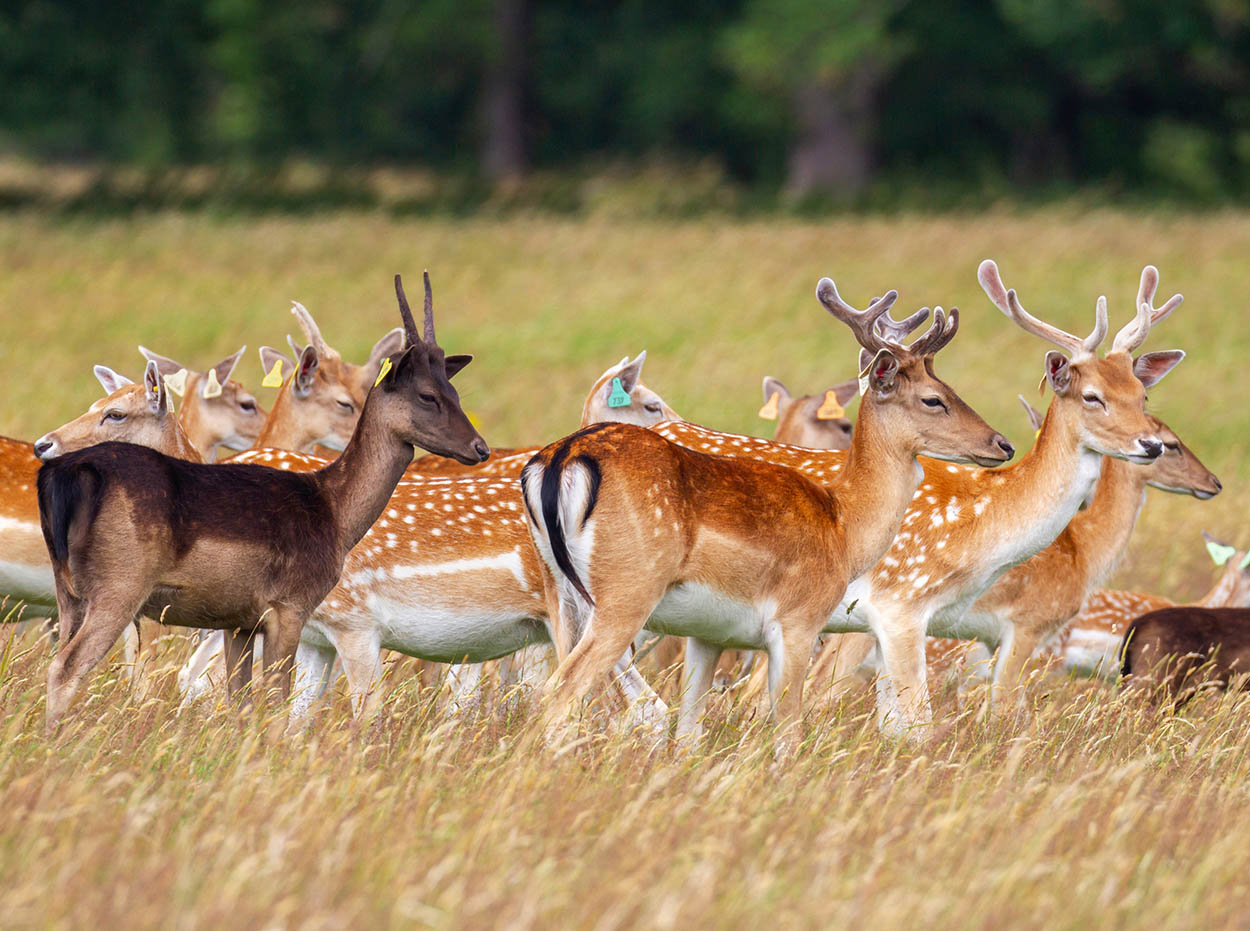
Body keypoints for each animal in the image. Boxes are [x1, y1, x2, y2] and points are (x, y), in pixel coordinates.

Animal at [39, 272, 487, 729]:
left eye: (455, 390)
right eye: (427, 394)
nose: (479, 447)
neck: (334, 508)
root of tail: (64, 477)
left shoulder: (238, 622)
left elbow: (239, 700)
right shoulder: (289, 609)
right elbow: (276, 702)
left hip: (68, 594)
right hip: (118, 590)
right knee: (67, 668)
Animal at [522, 273, 1010, 739]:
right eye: (933, 398)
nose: (1002, 444)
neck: (844, 523)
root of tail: (559, 459)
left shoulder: (707, 634)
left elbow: (690, 731)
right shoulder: (797, 623)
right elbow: (787, 727)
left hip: (560, 595)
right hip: (627, 591)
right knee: (561, 692)